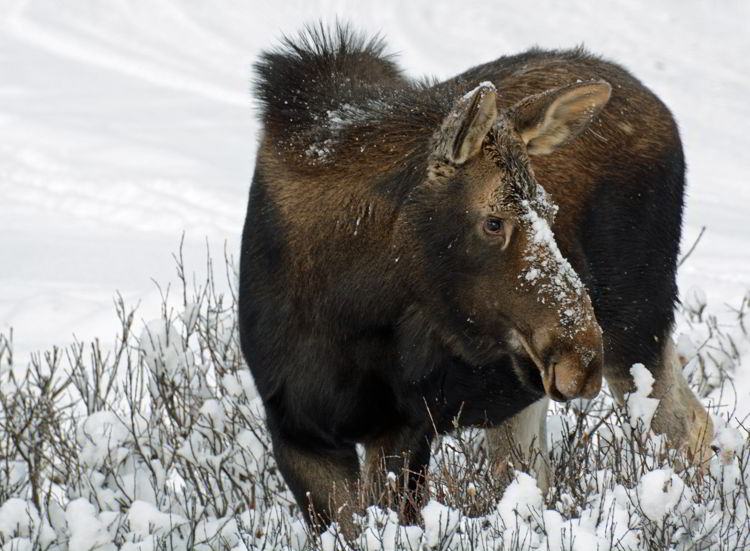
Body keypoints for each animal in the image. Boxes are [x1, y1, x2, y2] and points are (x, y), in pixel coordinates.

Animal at [241, 24, 716, 532]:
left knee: (690, 427)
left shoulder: (405, 426)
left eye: (549, 212)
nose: (581, 357)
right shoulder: (297, 433)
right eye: (492, 222)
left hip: (637, 327)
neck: (341, 314)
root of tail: (661, 110)